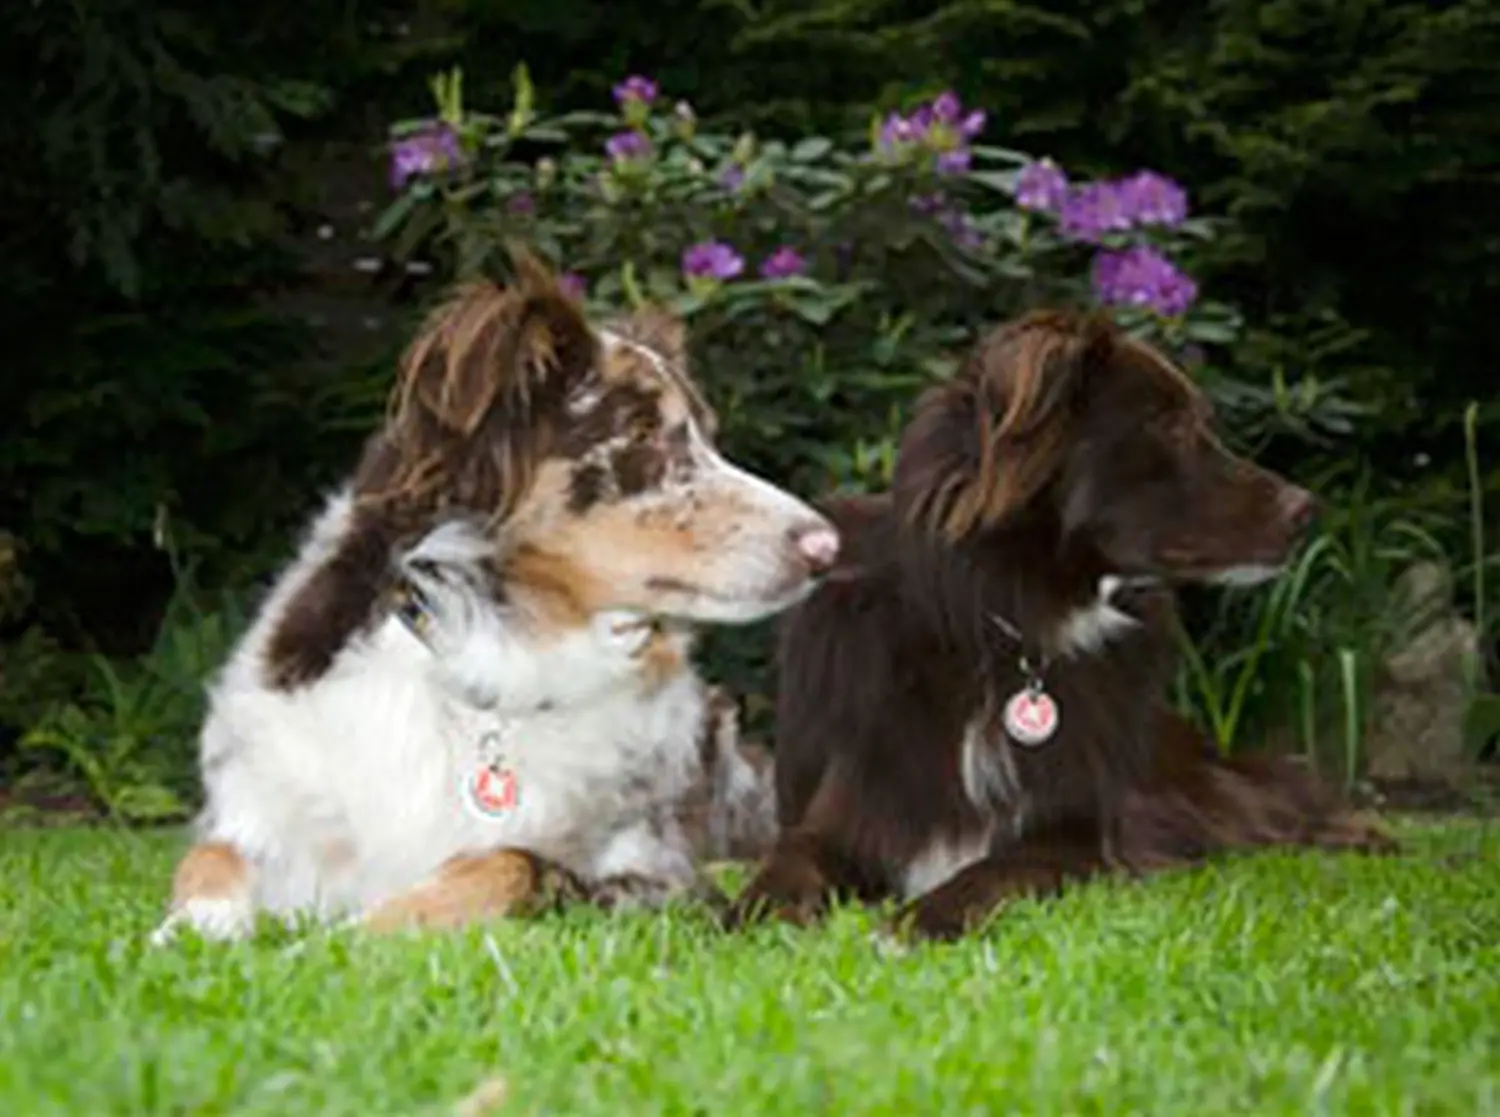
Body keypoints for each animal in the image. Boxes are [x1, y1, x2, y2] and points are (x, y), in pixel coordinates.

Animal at [152, 260, 834, 941]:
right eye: (642, 434)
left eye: (710, 439)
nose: (827, 547)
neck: (500, 655)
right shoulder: (269, 810)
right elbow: (210, 858)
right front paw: (191, 930)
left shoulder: (657, 877)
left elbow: (508, 861)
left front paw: (347, 934)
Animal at [726, 307, 1392, 941]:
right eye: (1171, 426)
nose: (1307, 510)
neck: (995, 627)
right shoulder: (843, 814)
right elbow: (782, 871)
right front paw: (751, 919)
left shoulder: (1076, 838)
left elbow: (990, 871)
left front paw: (921, 921)